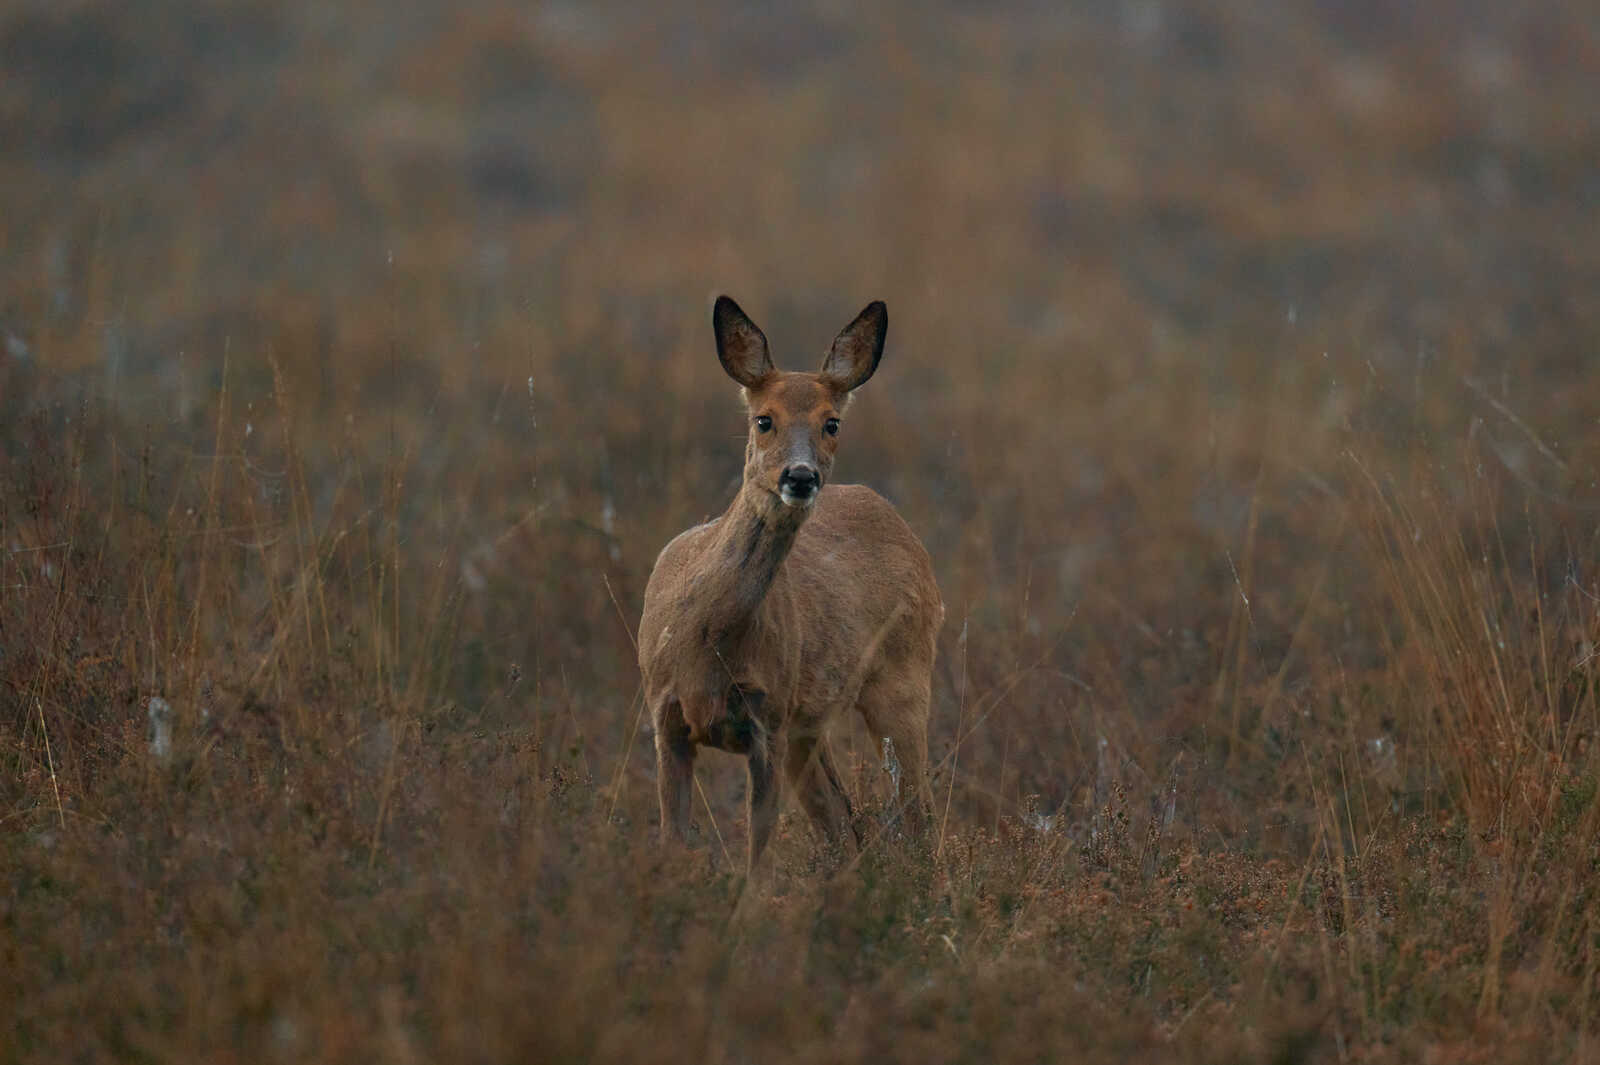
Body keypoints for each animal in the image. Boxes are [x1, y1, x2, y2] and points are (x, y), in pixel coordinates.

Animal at [638, 295, 944, 875]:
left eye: (832, 423)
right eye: (764, 420)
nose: (800, 478)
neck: (705, 640)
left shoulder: (770, 721)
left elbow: (758, 859)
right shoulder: (666, 716)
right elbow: (670, 843)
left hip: (904, 679)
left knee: (921, 817)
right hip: (812, 728)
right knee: (845, 824)